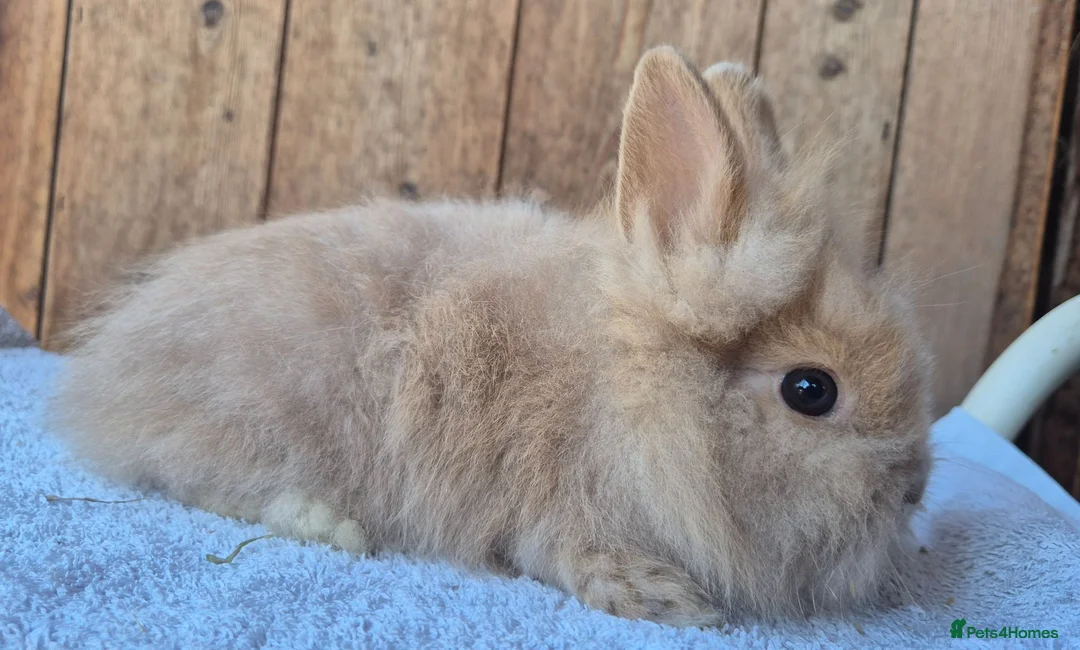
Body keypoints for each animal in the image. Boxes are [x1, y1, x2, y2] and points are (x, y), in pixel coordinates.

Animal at [49, 46, 933, 627]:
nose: (916, 491)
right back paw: (332, 525)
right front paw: (663, 598)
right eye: (810, 390)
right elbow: (563, 552)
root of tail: (111, 367)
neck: (621, 394)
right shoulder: (550, 498)